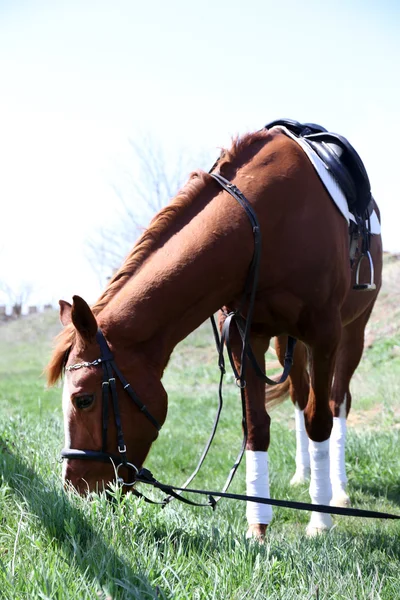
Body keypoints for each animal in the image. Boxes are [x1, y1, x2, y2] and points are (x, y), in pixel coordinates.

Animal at [46, 124, 382, 536]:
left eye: (84, 399)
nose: (74, 487)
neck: (264, 223)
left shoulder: (324, 335)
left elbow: (320, 422)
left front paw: (319, 522)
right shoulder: (245, 336)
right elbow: (256, 427)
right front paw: (258, 529)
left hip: (351, 334)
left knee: (335, 403)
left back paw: (338, 490)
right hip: (285, 342)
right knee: (300, 399)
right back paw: (302, 476)